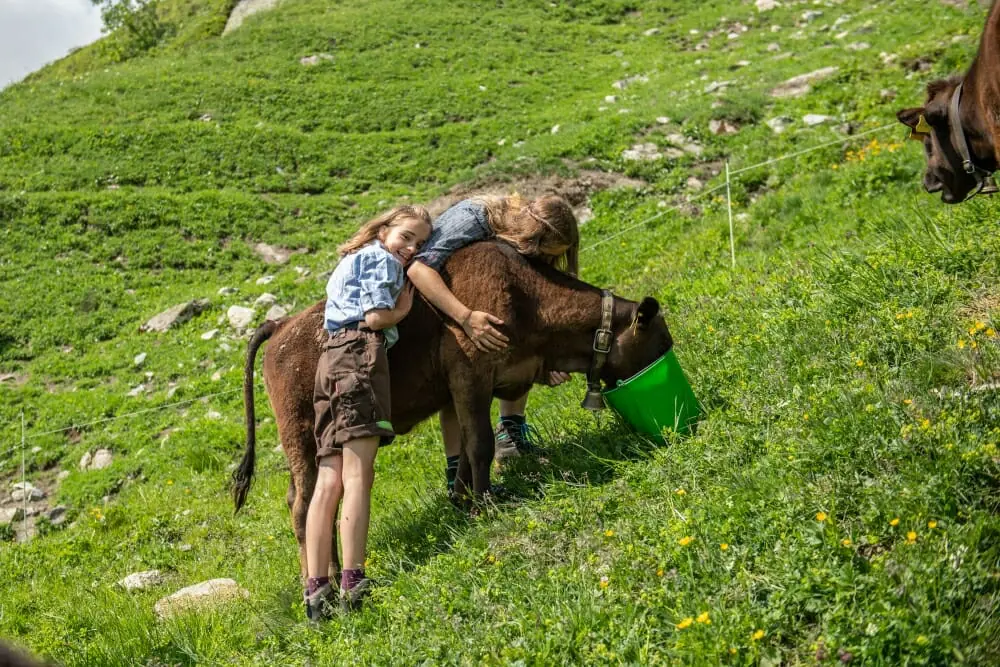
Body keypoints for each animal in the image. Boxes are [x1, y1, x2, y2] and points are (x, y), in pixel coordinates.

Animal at [230, 240, 676, 580]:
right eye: (660, 341)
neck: (527, 297)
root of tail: (281, 324)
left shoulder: (466, 390)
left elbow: (462, 451)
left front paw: (464, 503)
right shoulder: (471, 376)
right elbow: (480, 444)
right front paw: (486, 504)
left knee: (304, 500)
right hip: (302, 438)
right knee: (304, 506)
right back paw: (325, 583)